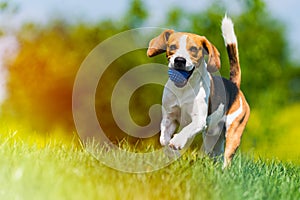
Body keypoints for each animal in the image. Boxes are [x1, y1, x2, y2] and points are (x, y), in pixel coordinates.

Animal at [146, 16, 250, 168]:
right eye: (172, 47)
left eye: (194, 49)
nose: (180, 60)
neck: (183, 89)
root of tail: (234, 86)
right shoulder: (169, 118)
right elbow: (163, 140)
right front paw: (173, 154)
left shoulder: (199, 120)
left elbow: (186, 130)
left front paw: (177, 141)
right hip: (212, 136)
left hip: (233, 132)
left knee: (227, 157)